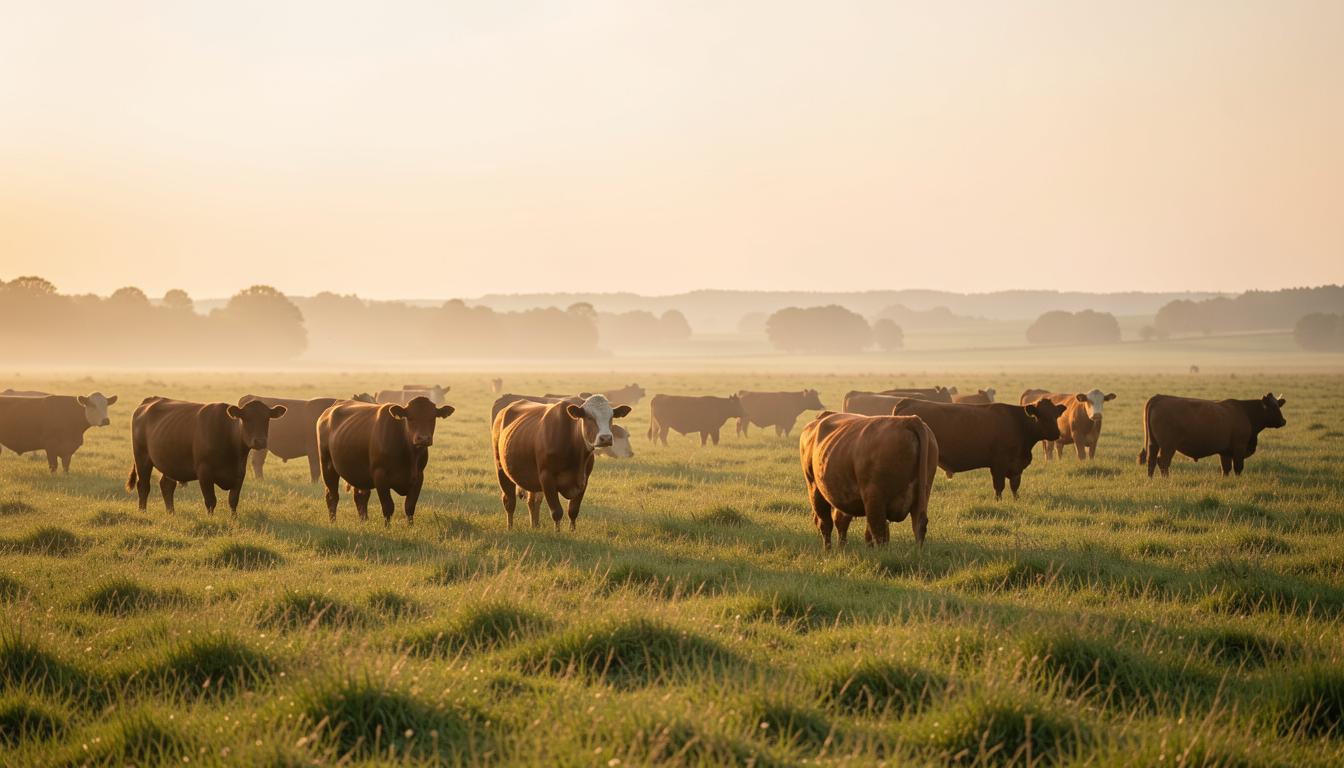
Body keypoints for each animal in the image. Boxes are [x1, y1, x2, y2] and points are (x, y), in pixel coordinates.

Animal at [127, 397, 285, 514]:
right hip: (142, 457)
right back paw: (143, 512)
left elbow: (233, 500)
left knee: (167, 486)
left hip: (169, 461)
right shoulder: (204, 472)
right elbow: (210, 501)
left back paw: (171, 513)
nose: (260, 441)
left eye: (267, 419)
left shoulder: (240, 473)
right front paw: (211, 519)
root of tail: (149, 401)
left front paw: (233, 519)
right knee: (143, 486)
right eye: (245, 418)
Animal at [317, 396, 454, 525]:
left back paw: (364, 521)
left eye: (432, 417)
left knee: (360, 497)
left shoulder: (419, 476)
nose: (423, 438)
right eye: (410, 418)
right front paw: (387, 528)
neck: (409, 456)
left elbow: (410, 506)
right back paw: (333, 522)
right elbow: (388, 506)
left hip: (358, 472)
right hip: (327, 466)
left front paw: (410, 527)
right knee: (332, 496)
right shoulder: (380, 475)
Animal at [800, 411, 938, 550]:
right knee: (917, 525)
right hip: (921, 495)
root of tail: (910, 420)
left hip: (866, 494)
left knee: (874, 528)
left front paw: (831, 550)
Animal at [891, 398, 1066, 500]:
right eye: (1039, 415)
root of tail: (907, 401)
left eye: (1056, 415)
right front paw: (998, 502)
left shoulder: (1016, 467)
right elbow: (999, 487)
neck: (1018, 424)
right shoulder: (999, 465)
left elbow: (1015, 487)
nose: (1055, 433)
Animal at [1138, 393, 1286, 478]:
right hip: (1168, 445)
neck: (1245, 412)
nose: (1283, 421)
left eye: (1278, 405)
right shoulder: (1239, 447)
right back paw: (1166, 479)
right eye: (1273, 407)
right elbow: (1238, 467)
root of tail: (1159, 397)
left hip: (1153, 443)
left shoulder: (1225, 452)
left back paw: (1150, 479)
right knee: (1163, 461)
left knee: (1151, 460)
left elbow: (1226, 468)